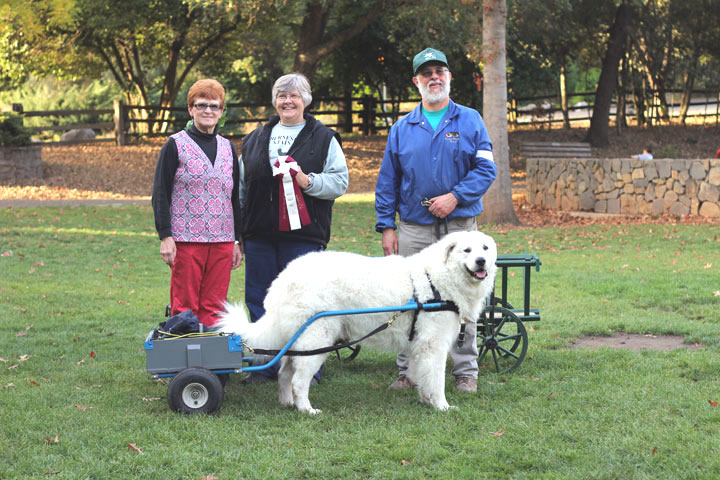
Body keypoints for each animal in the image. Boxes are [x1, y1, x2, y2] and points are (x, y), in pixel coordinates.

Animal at [219, 229, 498, 412]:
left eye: (485, 248)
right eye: (466, 250)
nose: (481, 261)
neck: (437, 278)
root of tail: (285, 276)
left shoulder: (420, 346)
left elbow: (423, 376)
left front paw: (426, 401)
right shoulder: (433, 345)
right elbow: (437, 380)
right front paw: (442, 406)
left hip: (300, 342)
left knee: (285, 373)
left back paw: (288, 403)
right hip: (317, 340)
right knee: (299, 380)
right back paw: (306, 410)